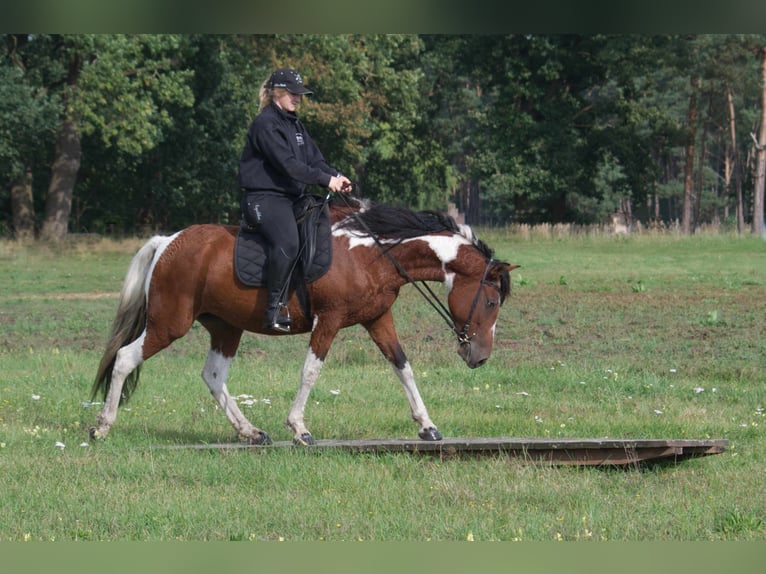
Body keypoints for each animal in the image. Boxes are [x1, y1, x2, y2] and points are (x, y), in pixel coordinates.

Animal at [91, 200, 520, 448]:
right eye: (491, 301)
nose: (480, 356)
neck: (371, 254)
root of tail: (167, 242)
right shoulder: (328, 319)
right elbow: (311, 371)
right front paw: (299, 428)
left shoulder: (377, 318)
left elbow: (403, 367)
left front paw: (427, 426)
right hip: (169, 323)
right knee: (126, 358)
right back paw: (101, 427)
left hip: (226, 327)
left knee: (213, 375)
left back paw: (250, 432)